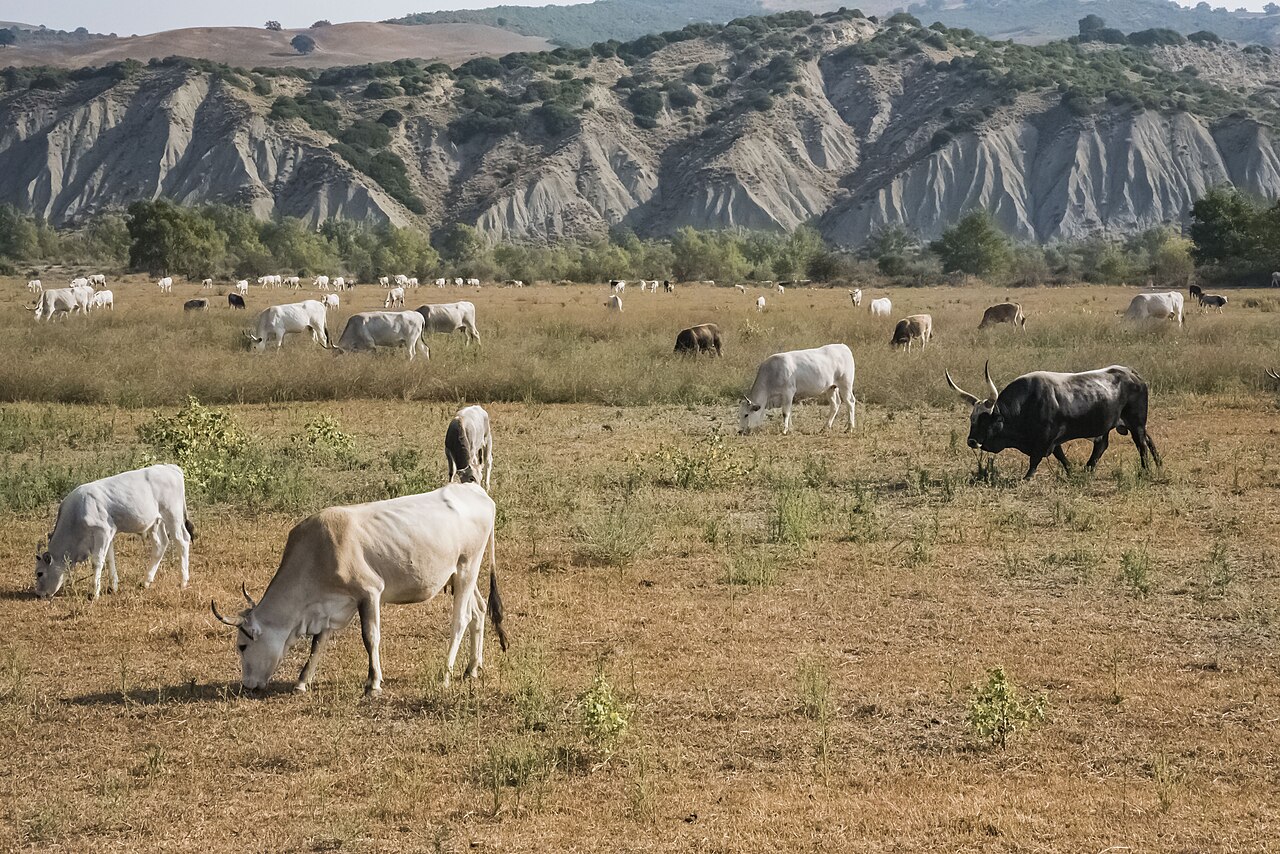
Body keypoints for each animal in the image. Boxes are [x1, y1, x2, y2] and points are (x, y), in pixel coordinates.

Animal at [34, 464, 194, 601]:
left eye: (39, 573)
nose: (39, 594)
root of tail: (170, 467)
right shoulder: (109, 532)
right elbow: (109, 558)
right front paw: (113, 586)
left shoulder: (102, 531)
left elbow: (97, 561)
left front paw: (94, 593)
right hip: (155, 522)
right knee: (161, 544)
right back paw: (146, 581)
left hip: (173, 516)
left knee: (182, 541)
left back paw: (183, 581)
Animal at [211, 483, 505, 694]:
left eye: (242, 646)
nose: (247, 685)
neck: (318, 551)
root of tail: (476, 491)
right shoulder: (328, 609)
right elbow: (318, 644)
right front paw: (302, 682)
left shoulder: (370, 593)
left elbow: (370, 637)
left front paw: (373, 683)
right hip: (459, 575)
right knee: (479, 610)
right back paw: (472, 668)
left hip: (467, 567)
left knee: (461, 620)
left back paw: (446, 673)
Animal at [945, 362, 1162, 480]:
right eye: (972, 419)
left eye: (985, 420)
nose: (971, 441)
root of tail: (1133, 374)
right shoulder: (1053, 440)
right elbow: (1060, 456)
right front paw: (1072, 472)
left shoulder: (1046, 437)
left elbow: (1036, 458)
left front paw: (1027, 477)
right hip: (1118, 425)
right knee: (1109, 445)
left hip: (1136, 423)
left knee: (1141, 444)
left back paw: (1145, 470)